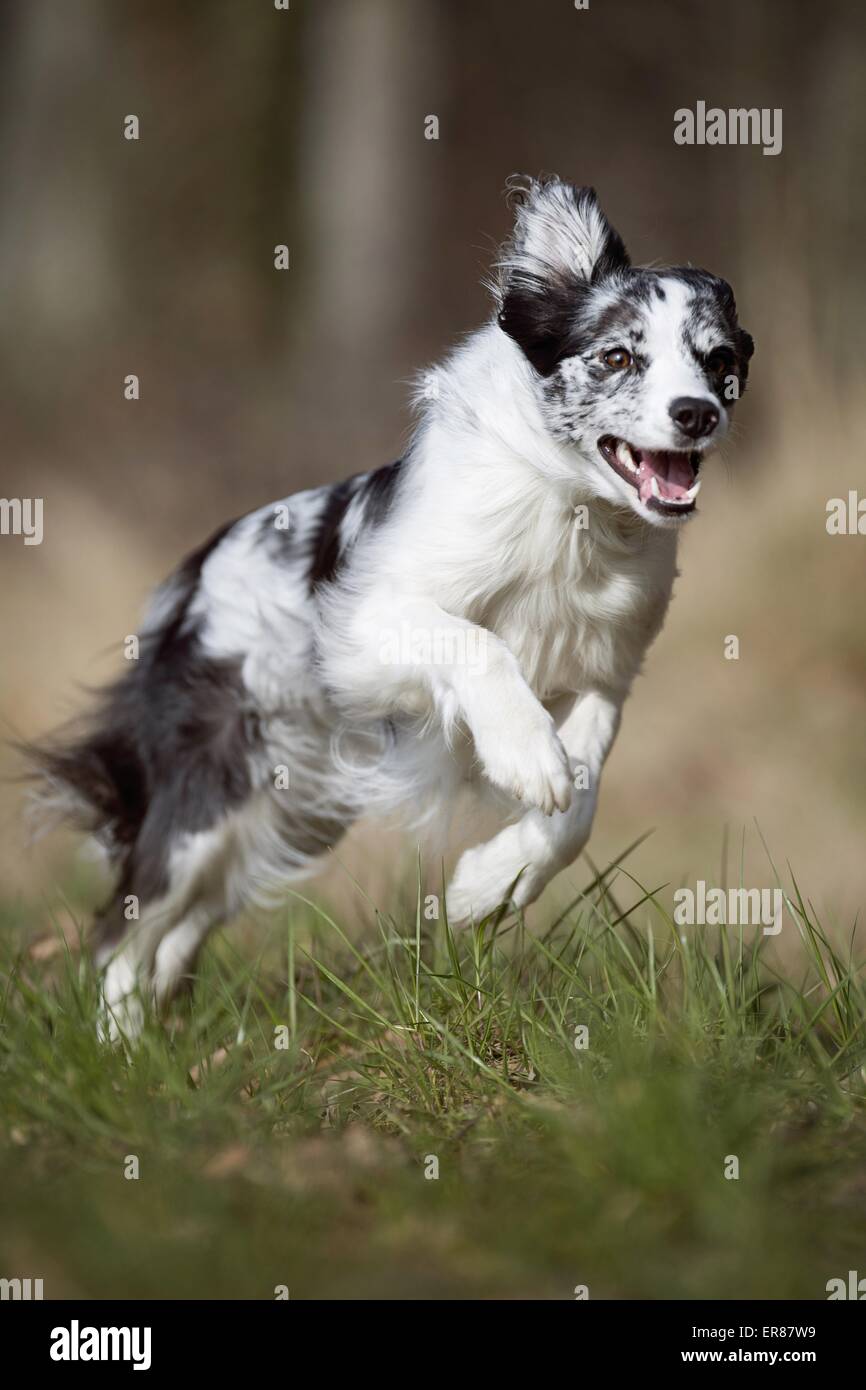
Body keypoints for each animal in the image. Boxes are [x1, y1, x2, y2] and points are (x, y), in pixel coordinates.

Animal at [27, 176, 750, 1034]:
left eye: (717, 359)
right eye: (617, 357)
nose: (697, 413)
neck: (571, 512)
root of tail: (186, 583)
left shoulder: (605, 674)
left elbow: (577, 806)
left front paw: (484, 891)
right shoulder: (361, 626)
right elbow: (479, 646)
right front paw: (523, 756)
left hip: (294, 808)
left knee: (178, 928)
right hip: (207, 797)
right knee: (123, 930)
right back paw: (123, 1050)